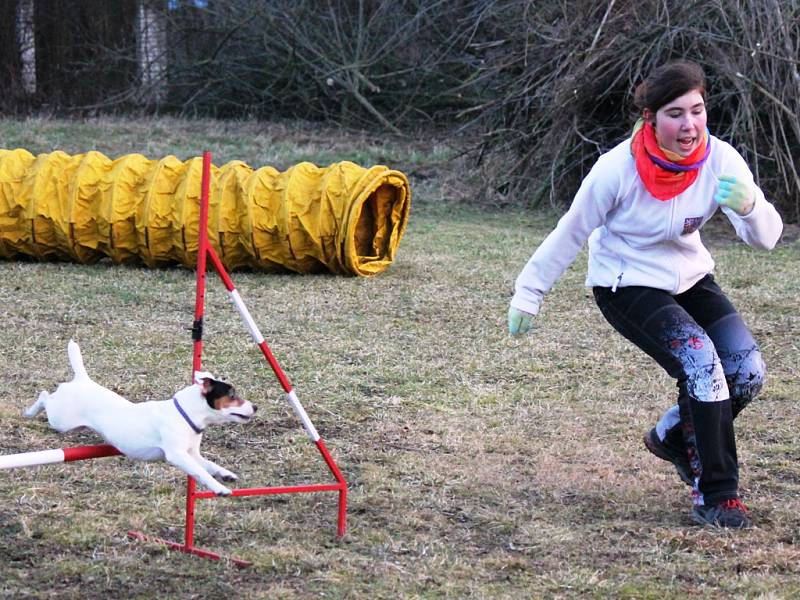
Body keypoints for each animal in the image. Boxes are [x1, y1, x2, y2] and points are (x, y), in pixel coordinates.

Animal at [24, 340, 256, 494]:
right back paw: (29, 412)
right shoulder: (177, 455)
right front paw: (219, 488)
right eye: (232, 395)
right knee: (45, 396)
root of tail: (82, 380)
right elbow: (201, 472)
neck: (184, 414)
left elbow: (208, 465)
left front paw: (225, 474)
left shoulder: (193, 454)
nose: (255, 406)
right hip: (60, 419)